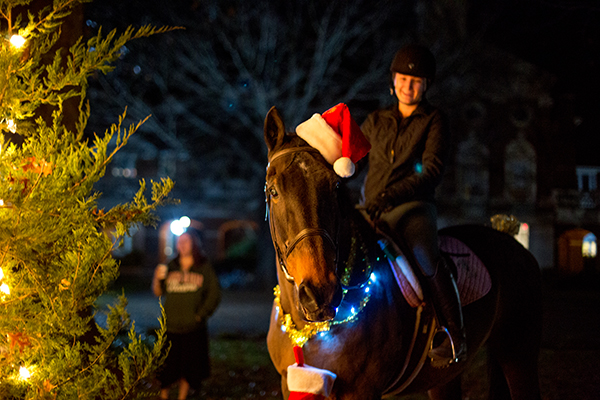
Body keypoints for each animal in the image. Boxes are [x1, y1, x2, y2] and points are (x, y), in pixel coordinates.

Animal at [262, 107, 544, 400]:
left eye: (336, 187)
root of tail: (508, 237)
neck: (310, 330)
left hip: (518, 356)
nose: (321, 293)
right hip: (445, 378)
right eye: (274, 191)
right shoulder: (291, 384)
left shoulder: (361, 391)